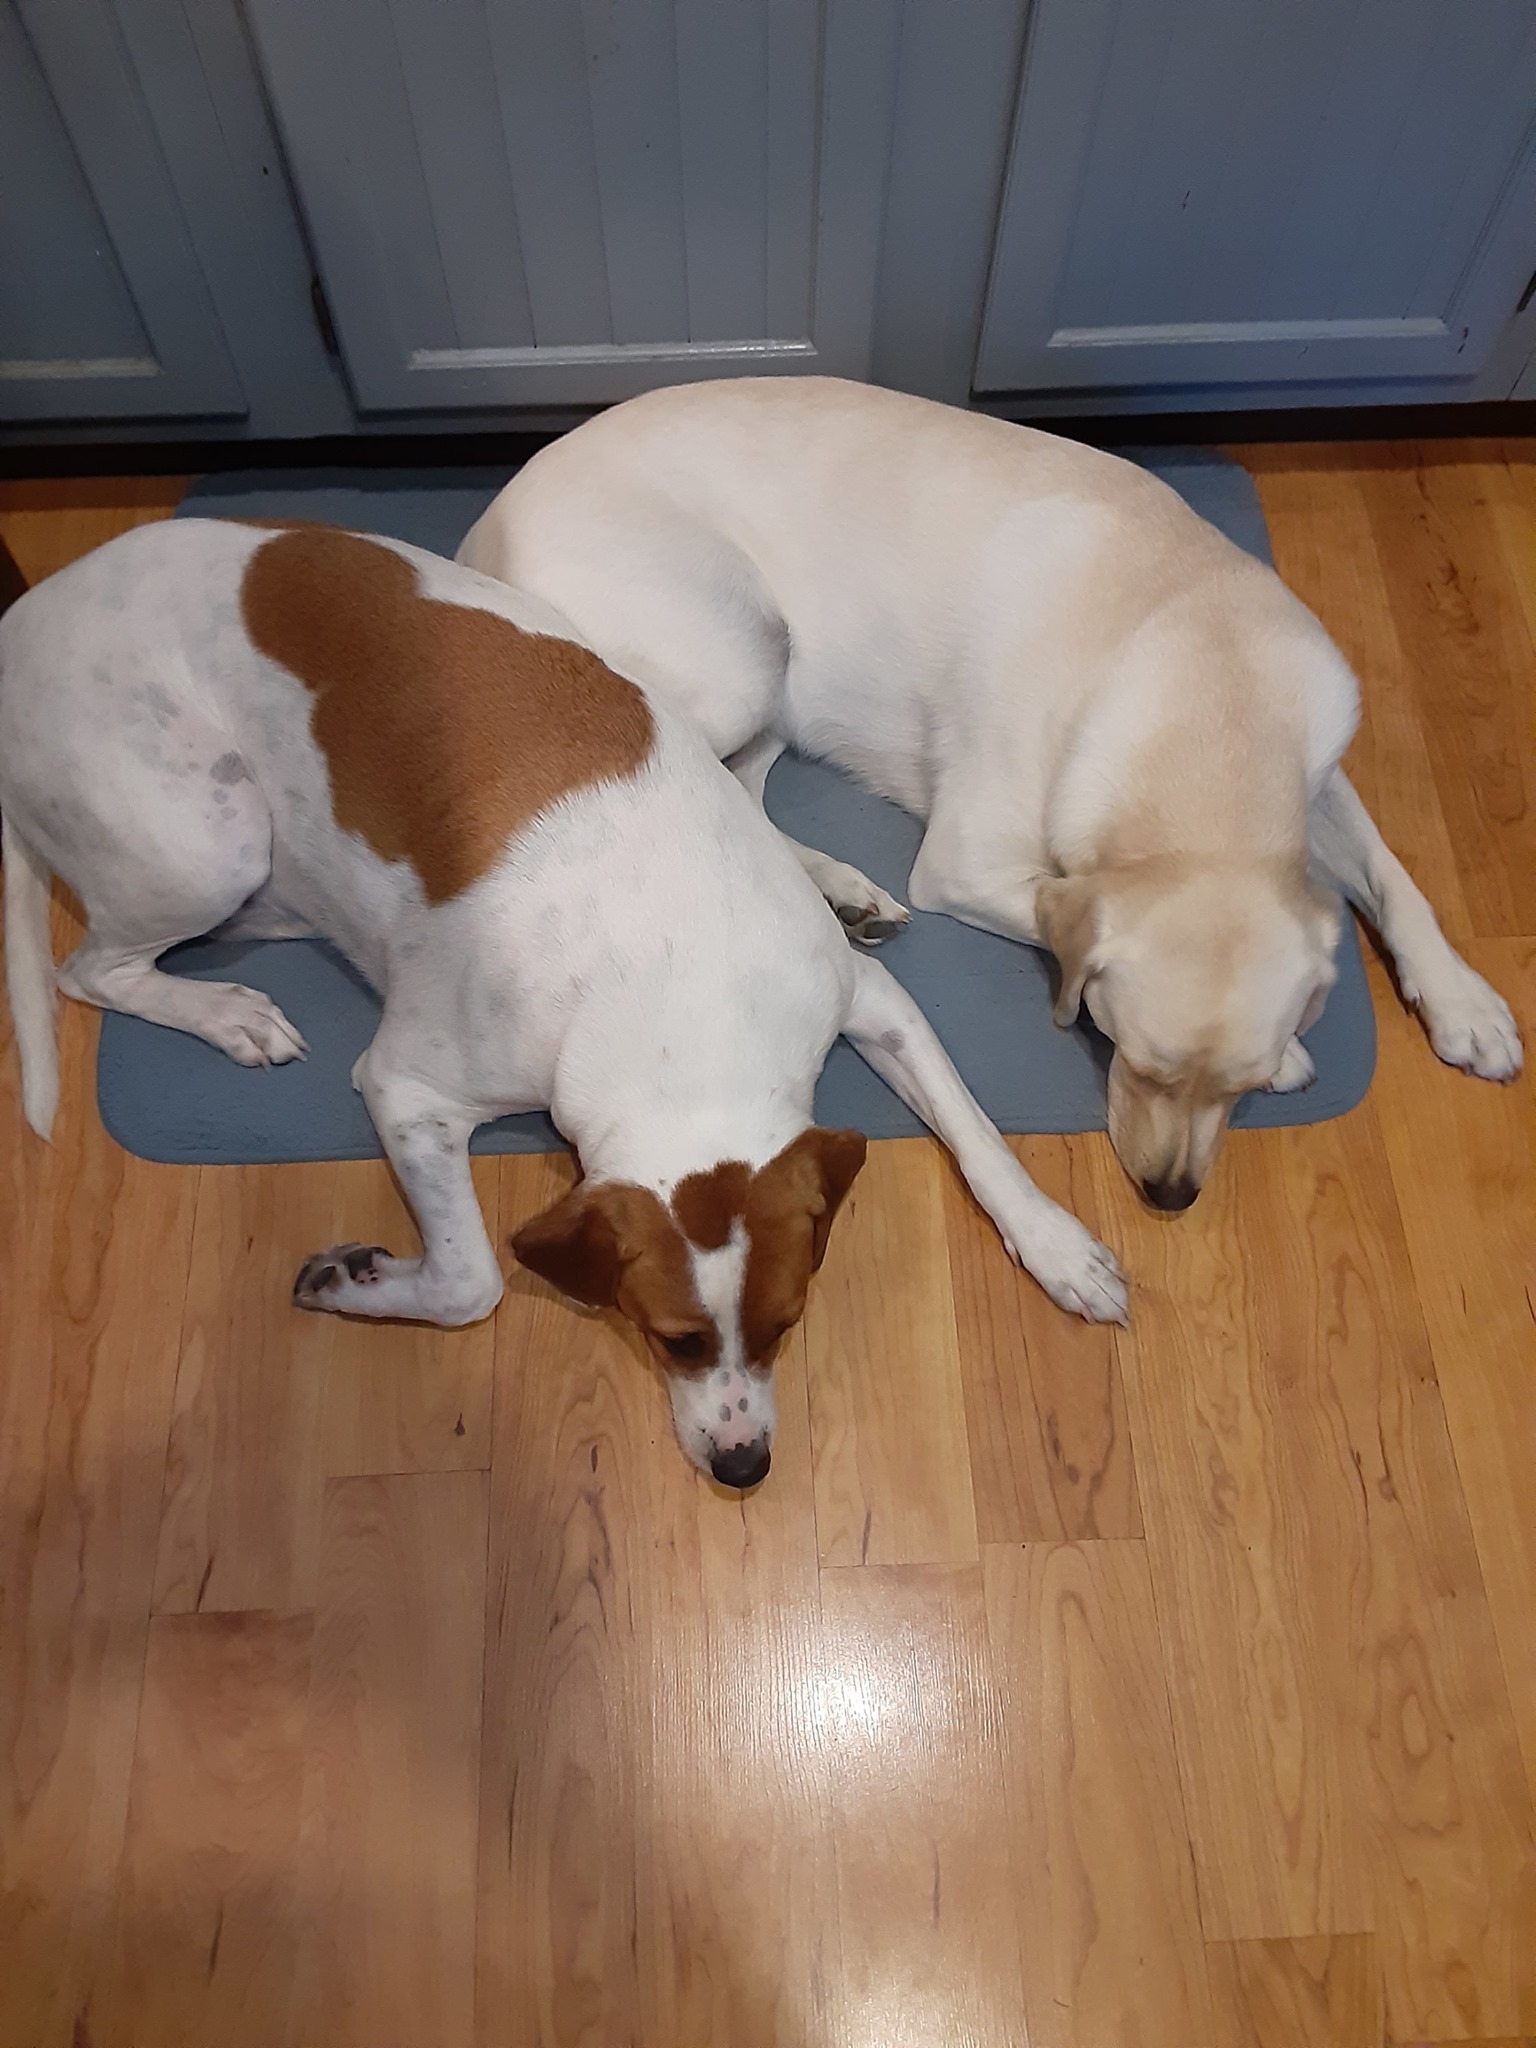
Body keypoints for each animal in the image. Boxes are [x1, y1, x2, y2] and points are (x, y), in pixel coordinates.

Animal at [0, 519, 1128, 1488]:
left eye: (786, 1325)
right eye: (671, 1339)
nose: (745, 1468)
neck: (685, 1011)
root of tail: (27, 619)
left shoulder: (877, 1003)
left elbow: (979, 1135)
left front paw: (1059, 1247)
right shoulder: (406, 1086)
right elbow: (472, 1281)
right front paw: (360, 1282)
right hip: (205, 838)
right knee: (87, 970)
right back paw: (227, 1013)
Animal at [459, 375, 1523, 1207]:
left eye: (1240, 1089)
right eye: (1143, 1067)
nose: (1170, 1198)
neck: (1209, 702)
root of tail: (484, 521)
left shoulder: (1319, 769)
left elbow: (1393, 874)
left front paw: (1465, 1003)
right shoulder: (967, 866)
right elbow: (1051, 919)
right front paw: (1312, 1056)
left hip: (767, 683)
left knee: (741, 795)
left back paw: (838, 893)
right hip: (739, 657)